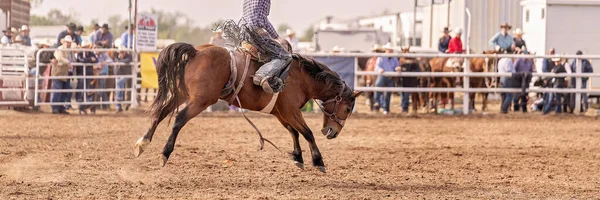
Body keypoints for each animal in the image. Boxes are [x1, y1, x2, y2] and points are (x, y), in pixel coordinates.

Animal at [134, 43, 360, 173]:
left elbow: (293, 132)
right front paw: (318, 161)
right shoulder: (291, 111)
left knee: (160, 114)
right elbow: (307, 133)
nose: (333, 132)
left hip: (182, 94)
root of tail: (197, 51)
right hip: (200, 100)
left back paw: (142, 144)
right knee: (179, 120)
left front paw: (298, 158)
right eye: (348, 109)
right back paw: (164, 154)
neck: (301, 77)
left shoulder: (281, 113)